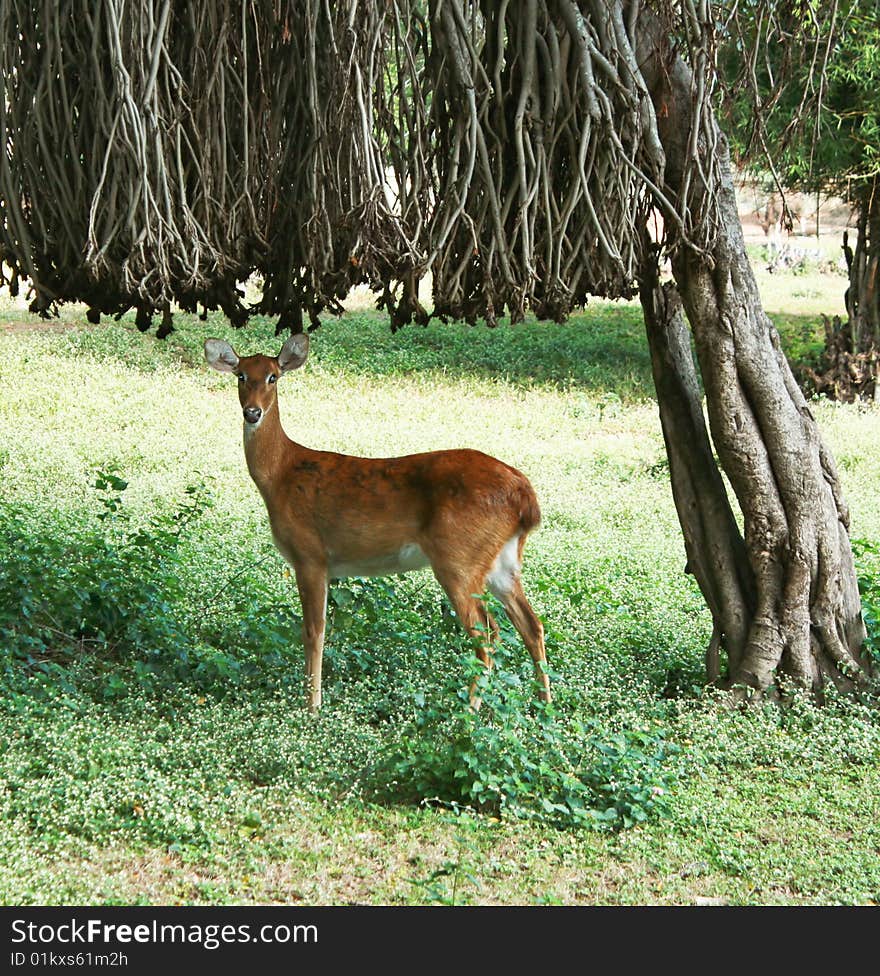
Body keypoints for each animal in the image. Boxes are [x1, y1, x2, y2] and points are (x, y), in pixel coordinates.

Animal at [205, 332, 552, 712]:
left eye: (273, 377)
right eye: (241, 375)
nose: (252, 412)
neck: (281, 475)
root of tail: (525, 496)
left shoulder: (310, 553)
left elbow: (314, 631)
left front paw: (313, 707)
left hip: (459, 557)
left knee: (488, 633)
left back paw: (469, 710)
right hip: (502, 560)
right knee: (531, 624)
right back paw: (543, 705)